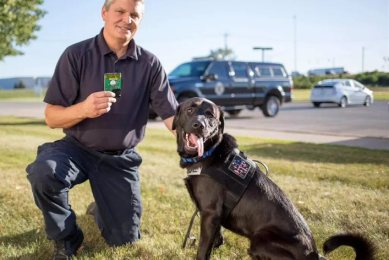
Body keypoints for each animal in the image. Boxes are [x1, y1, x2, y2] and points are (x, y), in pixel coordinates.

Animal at [173, 98, 372, 260]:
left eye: (210, 115)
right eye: (190, 110)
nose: (199, 125)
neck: (209, 153)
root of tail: (313, 255)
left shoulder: (209, 213)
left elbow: (202, 250)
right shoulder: (214, 217)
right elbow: (215, 242)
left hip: (259, 240)